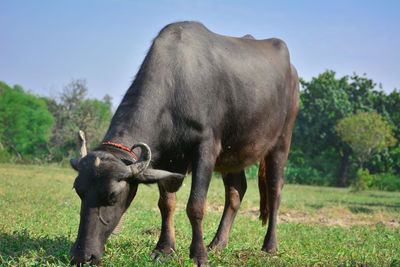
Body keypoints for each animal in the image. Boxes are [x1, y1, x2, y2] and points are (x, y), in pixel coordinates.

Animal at [70, 21, 298, 266]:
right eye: (79, 191)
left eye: (113, 196)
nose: (82, 255)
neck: (178, 85)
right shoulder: (165, 158)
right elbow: (166, 203)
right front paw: (164, 248)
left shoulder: (206, 149)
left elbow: (195, 205)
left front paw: (198, 253)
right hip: (234, 153)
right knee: (236, 191)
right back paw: (218, 243)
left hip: (282, 140)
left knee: (275, 190)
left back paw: (269, 246)